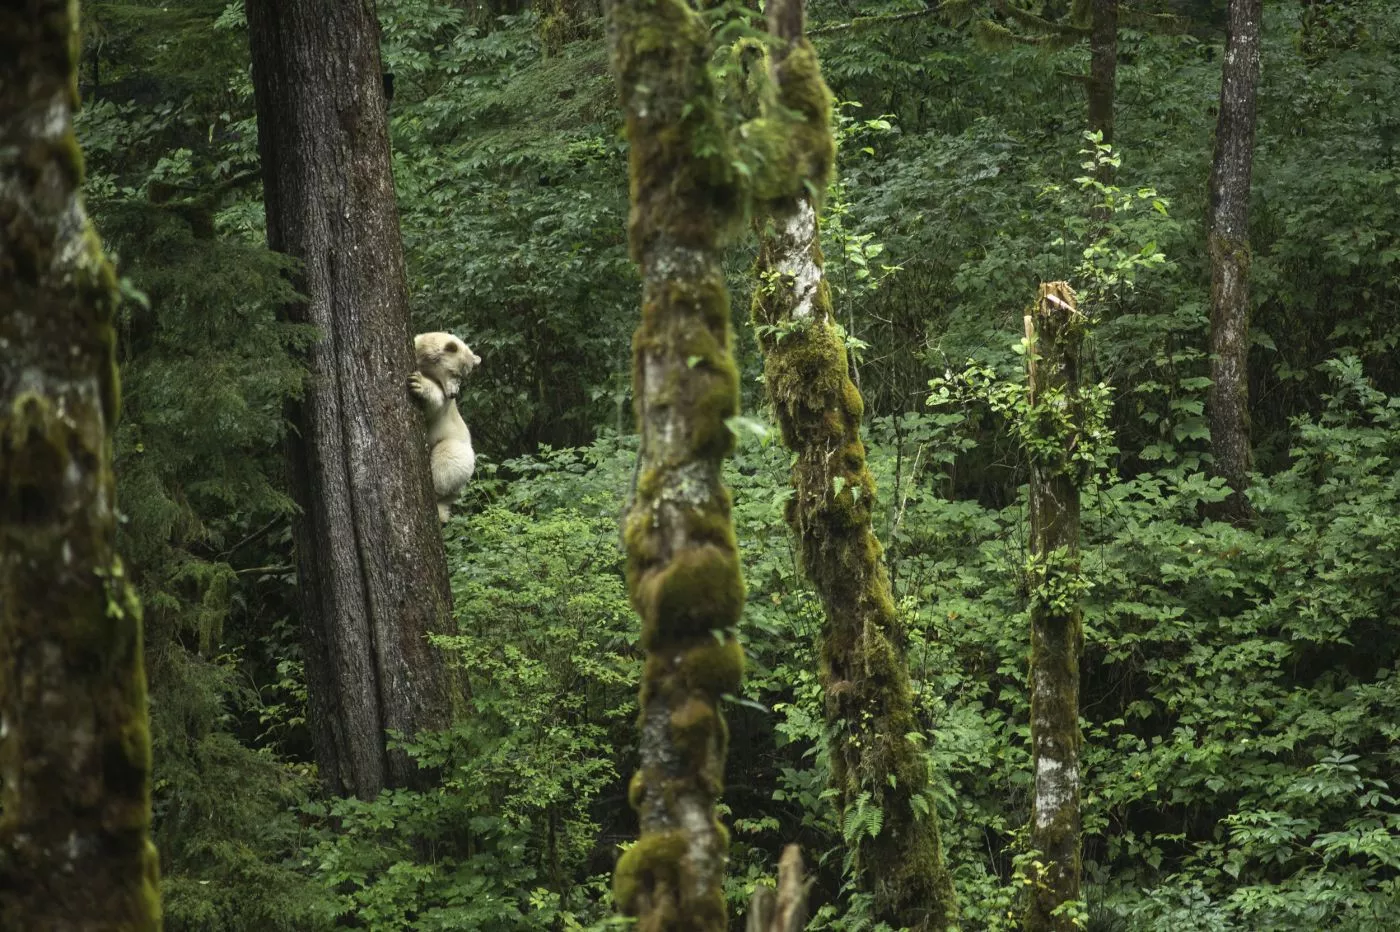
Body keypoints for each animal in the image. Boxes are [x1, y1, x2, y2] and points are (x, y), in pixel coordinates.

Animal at [408, 331, 480, 523]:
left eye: (464, 376)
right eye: (454, 372)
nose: (454, 394)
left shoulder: (444, 405)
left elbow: (434, 405)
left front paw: (418, 383)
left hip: (459, 454)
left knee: (447, 457)